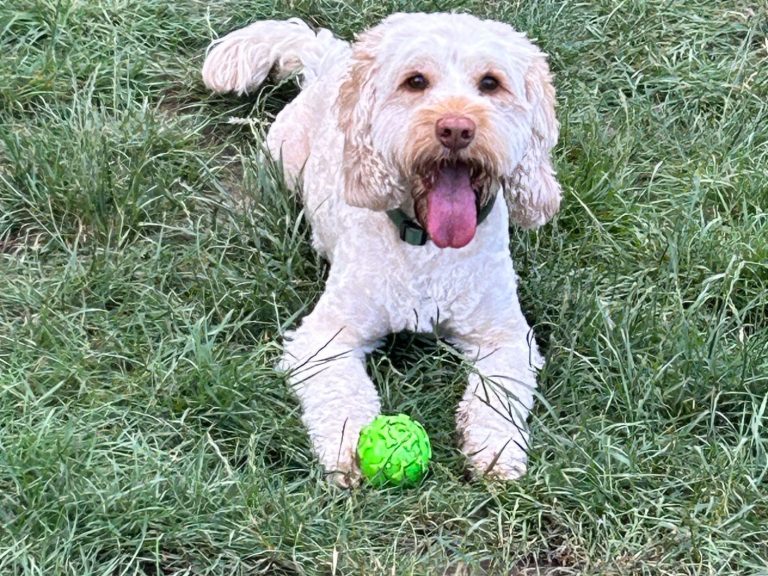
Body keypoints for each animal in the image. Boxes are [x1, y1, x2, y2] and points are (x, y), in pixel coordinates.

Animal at [201, 11, 560, 484]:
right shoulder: (325, 337)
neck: (427, 246)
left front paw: (496, 450)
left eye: (490, 83)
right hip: (282, 159)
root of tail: (331, 61)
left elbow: (498, 396)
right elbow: (340, 390)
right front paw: (348, 447)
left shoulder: (505, 337)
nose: (456, 128)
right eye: (416, 81)